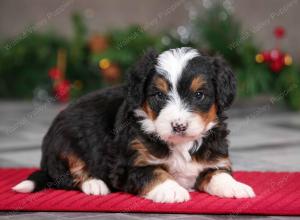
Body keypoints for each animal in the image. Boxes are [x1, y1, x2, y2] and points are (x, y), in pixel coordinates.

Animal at [12, 47, 254, 203]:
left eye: (199, 95)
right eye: (158, 95)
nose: (178, 126)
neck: (180, 144)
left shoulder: (214, 159)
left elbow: (219, 174)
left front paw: (236, 187)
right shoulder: (129, 166)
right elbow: (154, 172)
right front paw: (172, 190)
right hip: (65, 143)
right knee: (66, 175)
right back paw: (94, 184)